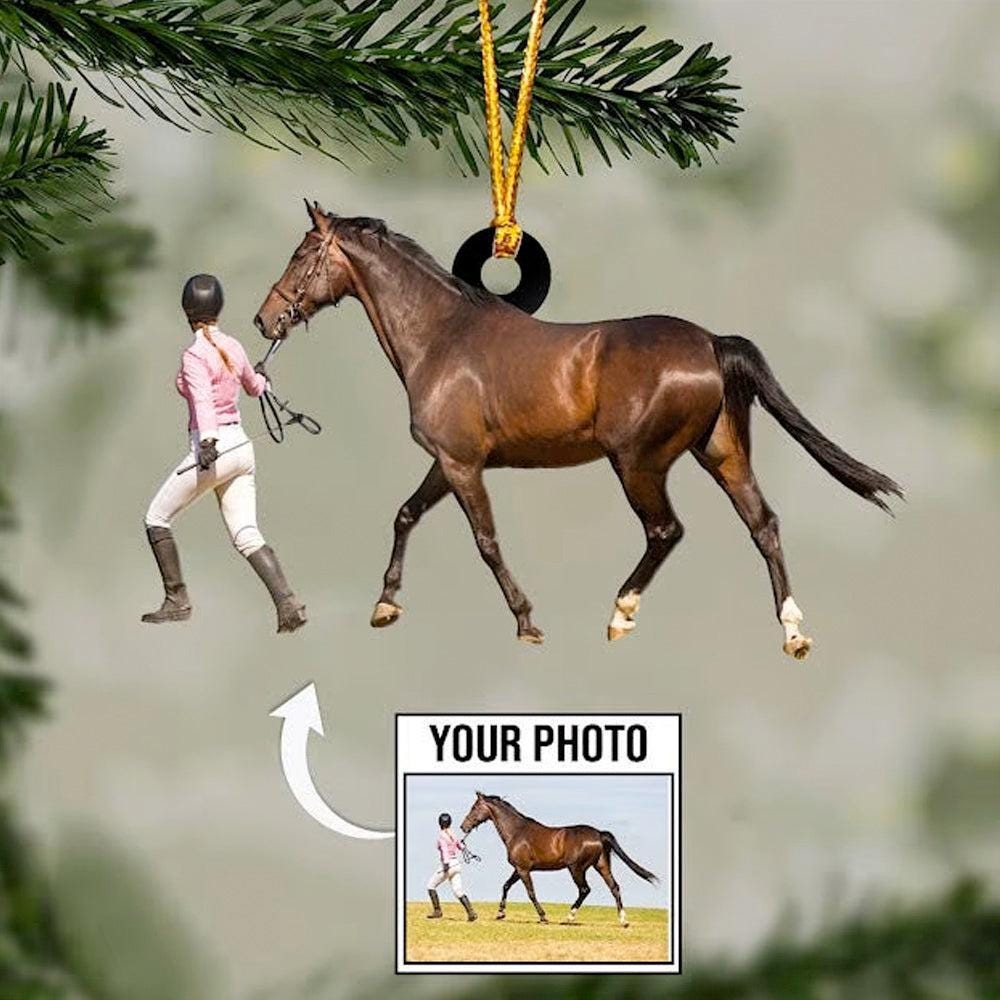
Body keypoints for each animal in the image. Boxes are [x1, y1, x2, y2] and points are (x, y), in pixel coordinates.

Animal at [254, 201, 902, 656]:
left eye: (301, 255)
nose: (265, 320)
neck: (442, 337)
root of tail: (712, 344)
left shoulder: (463, 464)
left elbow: (485, 542)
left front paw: (526, 622)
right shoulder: (449, 461)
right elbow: (406, 514)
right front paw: (386, 605)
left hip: (638, 463)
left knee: (666, 531)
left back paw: (621, 614)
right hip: (721, 454)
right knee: (762, 525)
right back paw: (792, 633)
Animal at [458, 790, 657, 927]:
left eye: (474, 807)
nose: (463, 826)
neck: (517, 832)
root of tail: (599, 834)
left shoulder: (523, 869)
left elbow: (531, 893)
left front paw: (543, 917)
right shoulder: (518, 869)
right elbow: (506, 886)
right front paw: (500, 913)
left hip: (576, 869)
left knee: (585, 890)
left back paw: (568, 918)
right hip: (601, 866)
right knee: (614, 888)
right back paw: (623, 921)